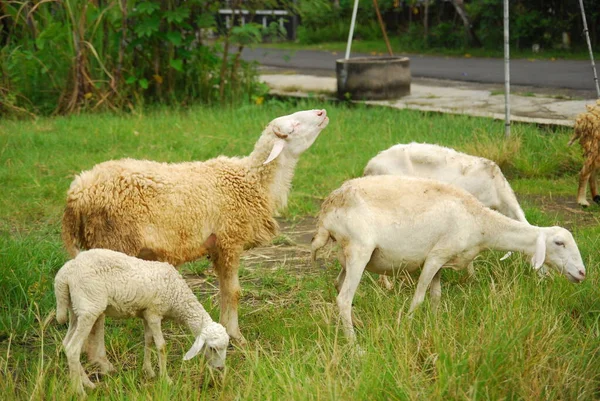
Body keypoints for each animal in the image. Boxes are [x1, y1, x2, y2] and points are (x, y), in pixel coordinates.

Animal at [53, 248, 230, 396]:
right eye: (212, 348)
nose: (221, 368)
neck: (177, 295)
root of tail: (64, 274)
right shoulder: (154, 313)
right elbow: (161, 346)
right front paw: (165, 379)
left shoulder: (146, 314)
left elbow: (148, 341)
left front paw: (149, 371)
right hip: (89, 308)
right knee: (73, 348)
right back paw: (80, 391)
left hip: (76, 309)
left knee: (66, 344)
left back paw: (86, 383)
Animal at [62, 109, 328, 344]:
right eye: (293, 126)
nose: (323, 112)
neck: (252, 181)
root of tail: (77, 193)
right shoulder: (230, 239)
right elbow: (233, 292)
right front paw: (236, 336)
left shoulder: (218, 246)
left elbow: (225, 291)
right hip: (113, 240)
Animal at [312, 176, 584, 340]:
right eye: (559, 243)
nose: (582, 273)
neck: (480, 223)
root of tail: (327, 209)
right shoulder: (436, 255)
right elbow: (419, 298)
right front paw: (407, 325)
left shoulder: (442, 262)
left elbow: (436, 296)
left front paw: (434, 326)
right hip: (360, 249)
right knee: (344, 299)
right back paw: (354, 345)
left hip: (348, 253)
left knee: (338, 285)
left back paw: (357, 324)